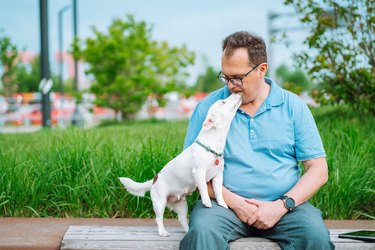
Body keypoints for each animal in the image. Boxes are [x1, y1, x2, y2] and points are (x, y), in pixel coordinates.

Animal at [119, 93, 244, 236]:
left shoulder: (218, 176)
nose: (236, 93)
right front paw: (207, 202)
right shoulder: (199, 172)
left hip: (181, 205)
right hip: (159, 202)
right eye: (223, 102)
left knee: (182, 219)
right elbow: (204, 188)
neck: (211, 146)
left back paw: (188, 230)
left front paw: (222, 203)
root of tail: (154, 179)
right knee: (158, 218)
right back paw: (162, 232)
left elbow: (218, 191)